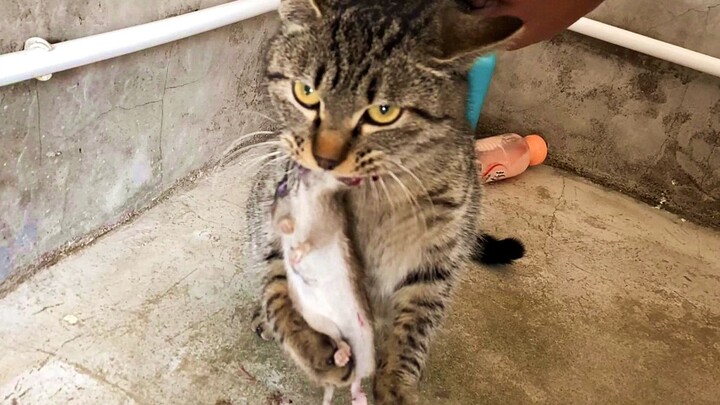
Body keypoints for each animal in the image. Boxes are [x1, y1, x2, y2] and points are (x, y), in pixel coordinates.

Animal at [248, 0, 524, 400]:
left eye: (383, 112)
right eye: (306, 93)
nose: (325, 158)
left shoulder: (437, 262)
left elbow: (413, 331)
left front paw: (396, 384)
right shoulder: (277, 208)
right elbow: (278, 284)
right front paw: (312, 345)